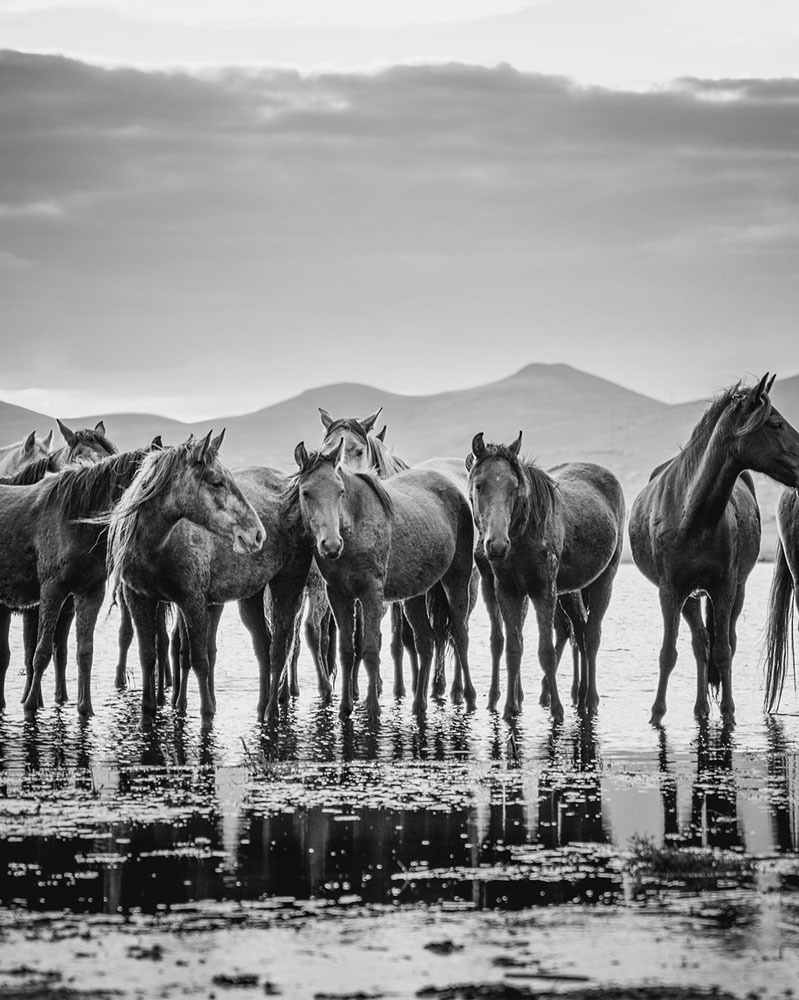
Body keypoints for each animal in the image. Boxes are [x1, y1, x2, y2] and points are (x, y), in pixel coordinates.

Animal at [290, 442, 476, 716]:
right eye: (306, 492)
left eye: (340, 490)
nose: (331, 545)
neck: (354, 526)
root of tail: (456, 490)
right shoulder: (338, 595)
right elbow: (347, 651)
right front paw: (345, 707)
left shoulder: (371, 593)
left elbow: (369, 649)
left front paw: (372, 707)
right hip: (415, 595)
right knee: (426, 641)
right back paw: (419, 704)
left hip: (457, 579)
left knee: (460, 634)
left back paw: (469, 697)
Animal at [466, 430, 628, 720]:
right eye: (479, 485)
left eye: (514, 486)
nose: (496, 545)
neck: (523, 537)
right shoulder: (507, 590)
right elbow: (513, 648)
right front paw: (510, 708)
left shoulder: (543, 589)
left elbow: (546, 652)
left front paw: (557, 709)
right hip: (569, 591)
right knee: (580, 631)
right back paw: (580, 696)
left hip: (604, 578)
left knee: (592, 636)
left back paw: (590, 699)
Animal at [628, 376, 799, 728]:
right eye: (775, 424)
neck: (692, 515)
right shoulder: (671, 591)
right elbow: (670, 652)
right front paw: (657, 713)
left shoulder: (724, 587)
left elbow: (723, 651)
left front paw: (729, 711)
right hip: (691, 598)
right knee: (699, 644)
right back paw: (699, 707)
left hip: (734, 591)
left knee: (722, 642)